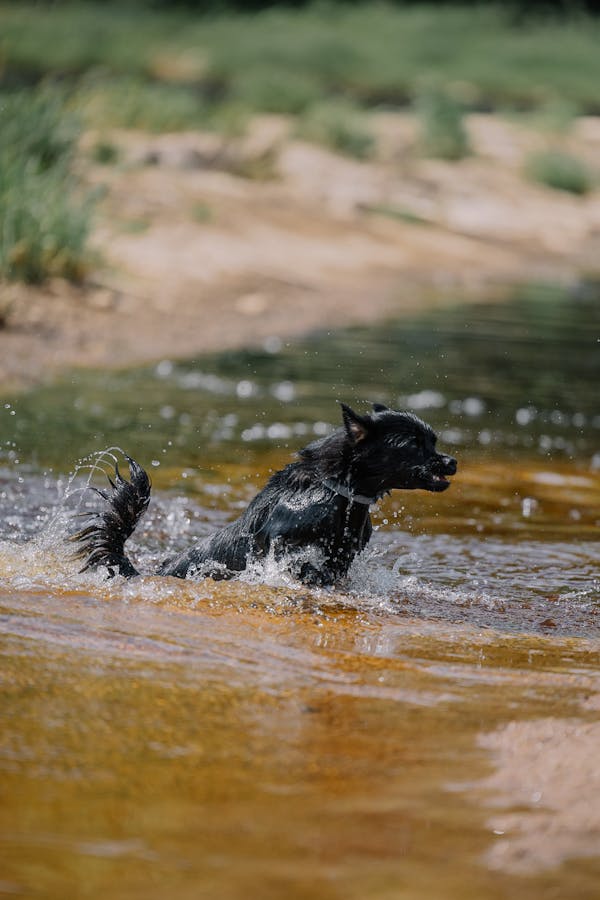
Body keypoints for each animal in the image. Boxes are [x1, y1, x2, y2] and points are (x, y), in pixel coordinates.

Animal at [71, 404, 454, 588]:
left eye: (432, 441)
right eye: (412, 445)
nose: (451, 461)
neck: (333, 490)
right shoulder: (277, 541)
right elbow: (300, 561)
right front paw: (314, 577)